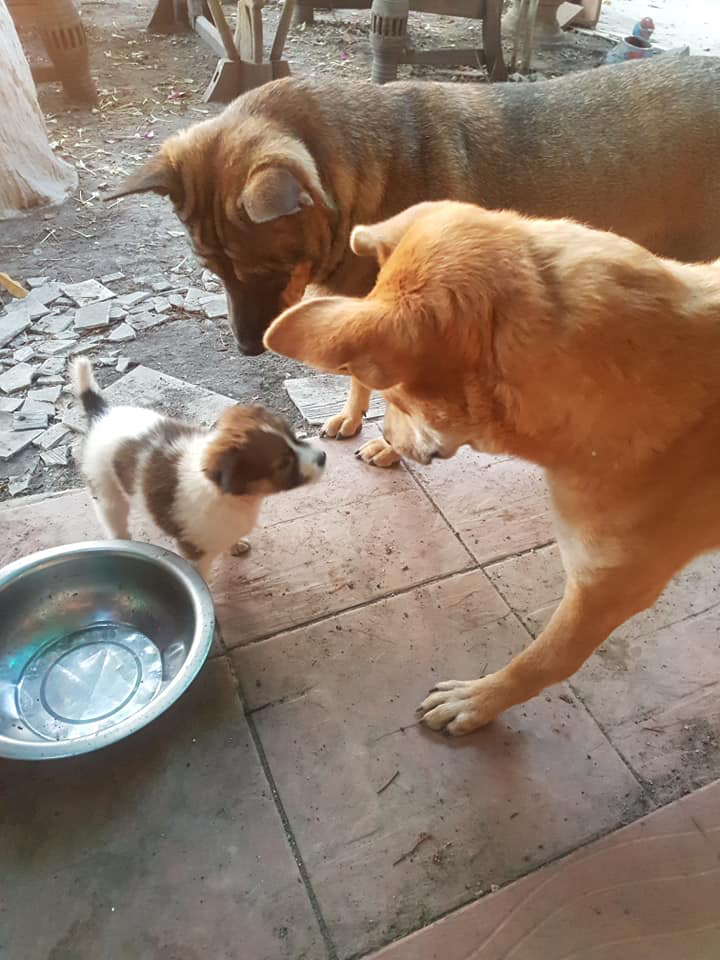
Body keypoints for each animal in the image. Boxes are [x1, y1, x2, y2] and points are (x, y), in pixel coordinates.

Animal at [69, 356, 326, 581]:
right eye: (283, 463)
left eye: (293, 436)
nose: (323, 456)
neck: (238, 499)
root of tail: (101, 414)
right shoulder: (194, 555)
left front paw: (235, 546)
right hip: (106, 493)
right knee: (114, 523)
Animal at [107, 56, 720, 469]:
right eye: (213, 271)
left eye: (268, 272)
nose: (247, 350)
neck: (356, 181)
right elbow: (360, 379)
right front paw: (354, 420)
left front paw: (390, 445)